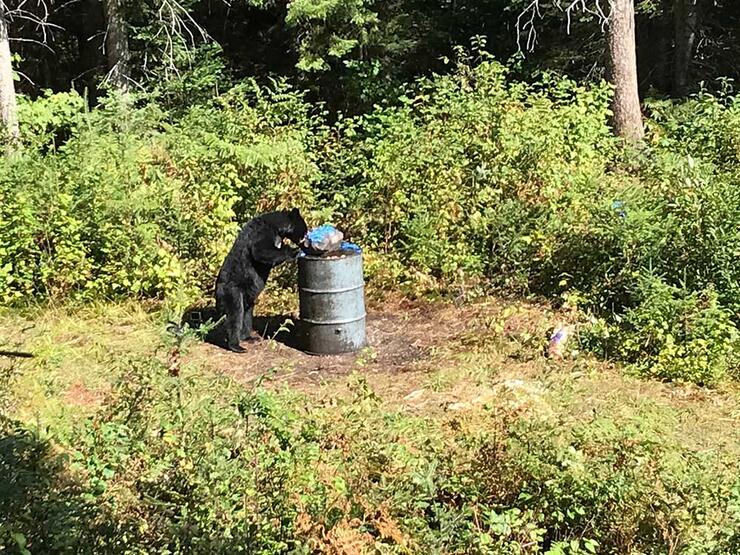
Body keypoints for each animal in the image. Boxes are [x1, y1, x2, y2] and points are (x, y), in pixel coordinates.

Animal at [215, 208, 308, 352]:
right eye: (304, 230)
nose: (306, 238)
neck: (276, 226)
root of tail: (216, 291)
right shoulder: (261, 233)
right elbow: (261, 251)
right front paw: (292, 250)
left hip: (247, 297)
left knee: (247, 315)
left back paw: (249, 337)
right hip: (232, 292)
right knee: (235, 314)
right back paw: (236, 345)